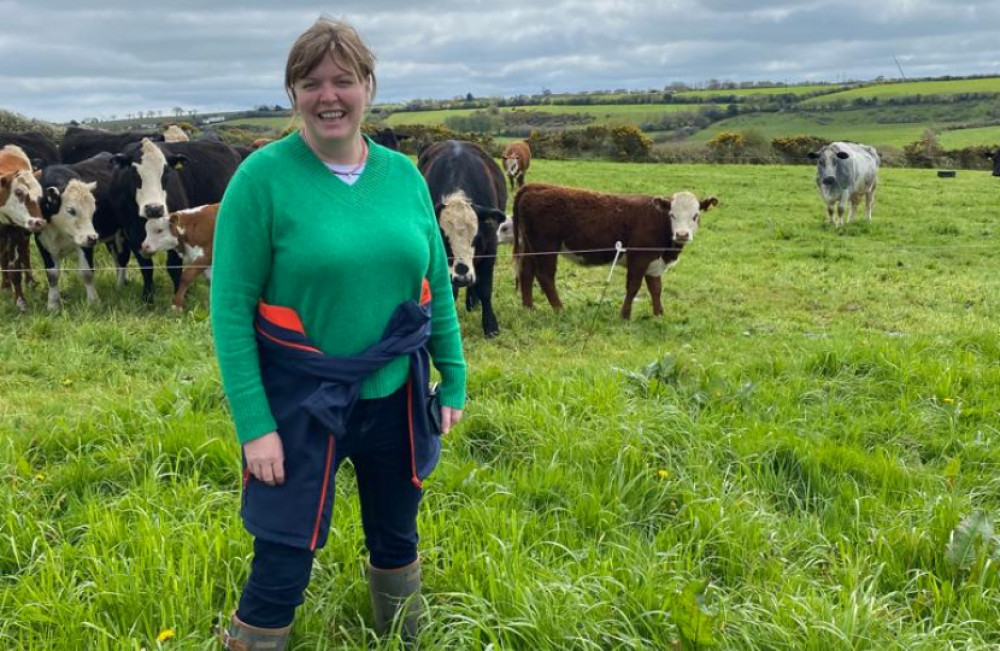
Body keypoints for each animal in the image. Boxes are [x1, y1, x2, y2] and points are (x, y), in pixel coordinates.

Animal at [35, 167, 99, 312]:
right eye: (71, 210)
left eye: (93, 210)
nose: (93, 238)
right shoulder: (42, 244)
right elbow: (52, 274)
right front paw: (53, 304)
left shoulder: (85, 243)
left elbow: (86, 273)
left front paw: (93, 301)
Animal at [109, 137, 240, 304]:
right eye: (134, 172)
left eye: (166, 173)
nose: (154, 208)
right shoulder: (130, 234)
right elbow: (146, 267)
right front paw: (148, 298)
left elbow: (173, 266)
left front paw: (180, 296)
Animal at [416, 140, 508, 338]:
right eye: (443, 239)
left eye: (476, 237)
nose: (462, 278)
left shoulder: (490, 248)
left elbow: (485, 289)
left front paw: (490, 326)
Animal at [512, 182, 716, 320]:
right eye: (672, 214)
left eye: (695, 216)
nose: (682, 234)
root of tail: (535, 186)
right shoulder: (639, 258)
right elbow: (634, 287)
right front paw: (625, 315)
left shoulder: (653, 261)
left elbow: (656, 288)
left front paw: (659, 314)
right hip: (546, 247)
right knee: (545, 276)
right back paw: (559, 309)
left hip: (531, 247)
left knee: (526, 272)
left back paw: (529, 308)